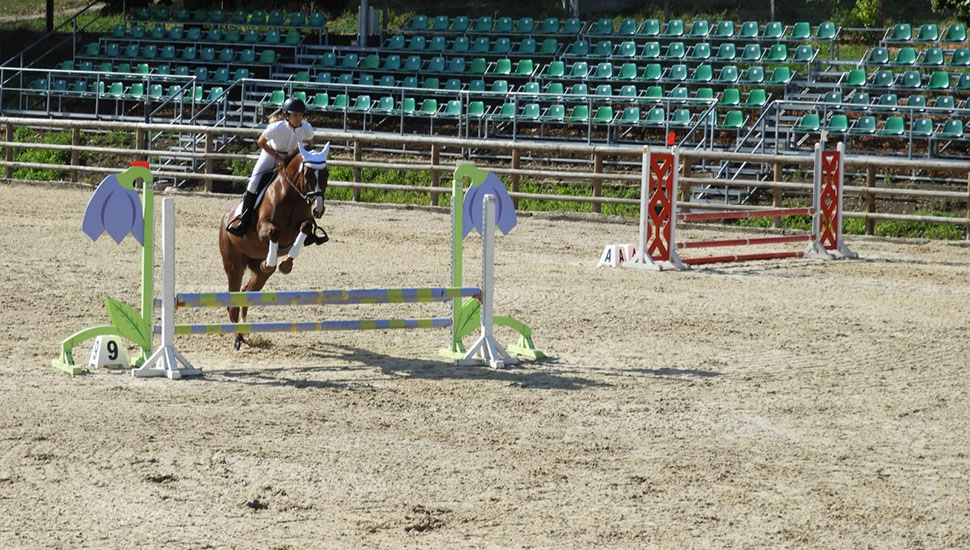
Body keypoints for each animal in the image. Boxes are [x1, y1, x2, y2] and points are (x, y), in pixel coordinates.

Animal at [218, 142, 330, 350]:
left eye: (326, 174)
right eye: (308, 174)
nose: (318, 209)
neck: (292, 196)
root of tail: (225, 219)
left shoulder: (303, 224)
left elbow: (305, 228)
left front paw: (286, 264)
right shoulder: (263, 226)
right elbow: (274, 233)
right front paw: (271, 262)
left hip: (258, 272)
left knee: (247, 293)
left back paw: (244, 334)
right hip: (234, 265)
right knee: (233, 303)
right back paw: (238, 340)